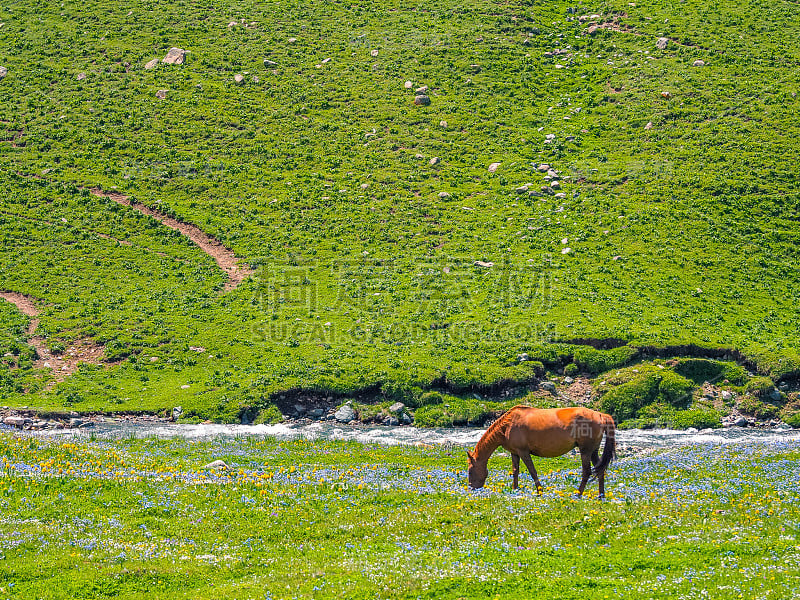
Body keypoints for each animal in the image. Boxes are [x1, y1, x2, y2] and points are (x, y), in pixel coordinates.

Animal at [466, 406, 616, 500]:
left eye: (470, 470)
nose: (472, 488)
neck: (507, 426)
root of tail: (600, 415)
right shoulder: (515, 453)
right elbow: (515, 471)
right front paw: (515, 490)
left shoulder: (523, 452)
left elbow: (532, 471)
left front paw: (539, 492)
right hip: (593, 451)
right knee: (600, 470)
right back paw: (601, 496)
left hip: (585, 451)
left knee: (587, 472)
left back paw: (578, 494)